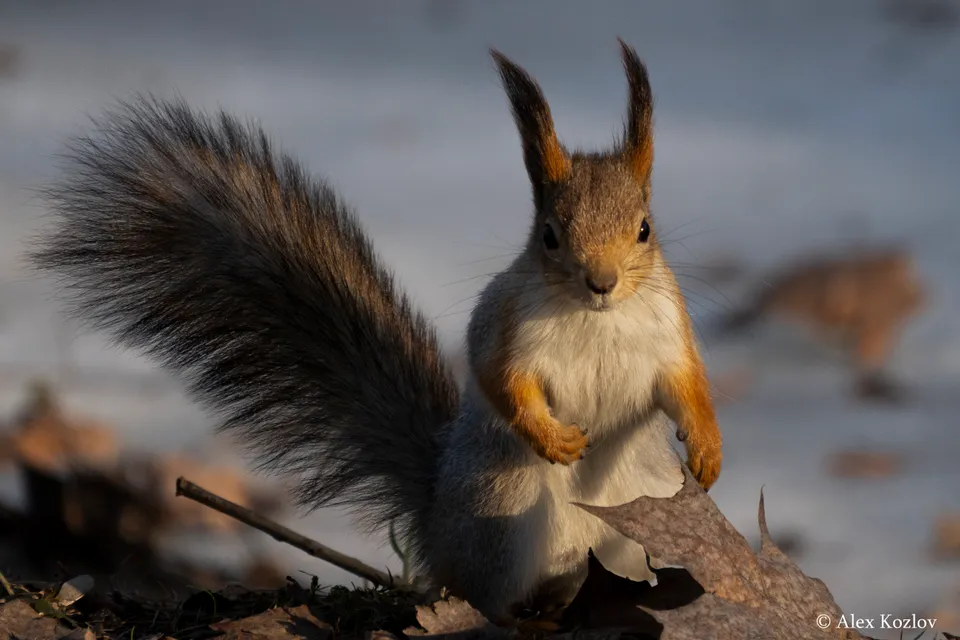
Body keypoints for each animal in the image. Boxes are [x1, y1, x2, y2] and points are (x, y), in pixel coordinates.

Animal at [30, 40, 722, 623]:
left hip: (631, 531)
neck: (595, 316)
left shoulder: (669, 332)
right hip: (503, 522)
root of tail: (436, 527)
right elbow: (502, 382)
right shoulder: (505, 326)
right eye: (550, 234)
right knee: (487, 597)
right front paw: (552, 438)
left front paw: (708, 450)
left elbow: (686, 384)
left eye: (644, 229)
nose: (602, 281)